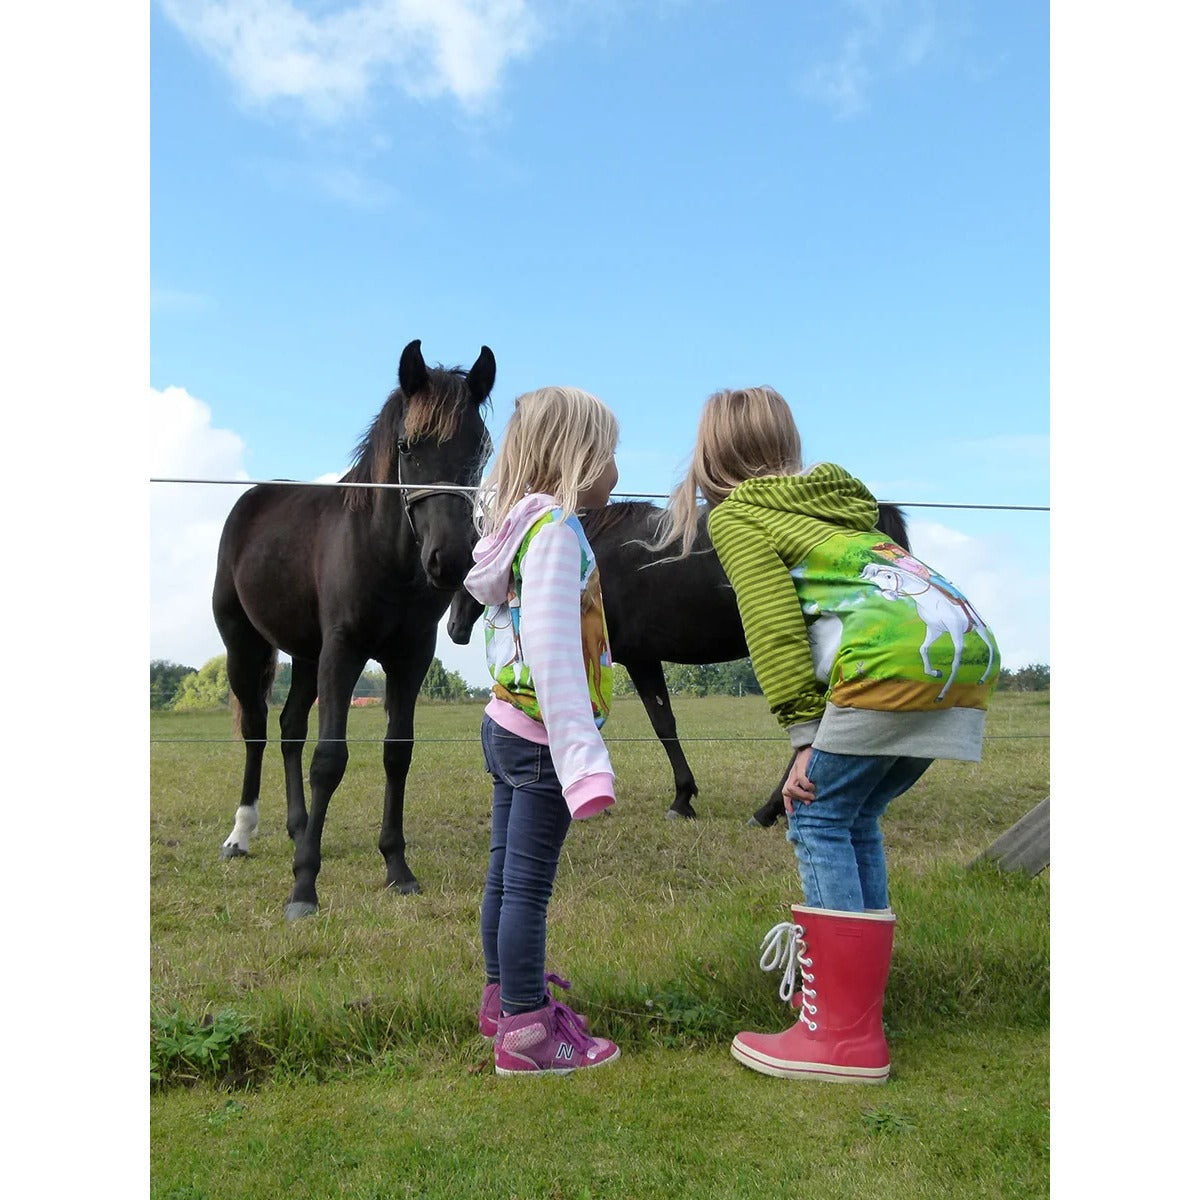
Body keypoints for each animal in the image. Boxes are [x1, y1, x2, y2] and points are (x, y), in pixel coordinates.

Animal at [213, 339, 495, 919]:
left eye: (479, 450)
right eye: (408, 446)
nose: (451, 560)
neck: (383, 553)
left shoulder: (410, 657)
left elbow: (396, 753)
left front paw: (397, 867)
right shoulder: (343, 652)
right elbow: (329, 759)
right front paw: (303, 887)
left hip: (304, 657)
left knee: (289, 728)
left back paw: (300, 828)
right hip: (243, 647)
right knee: (256, 730)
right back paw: (241, 835)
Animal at [446, 500, 910, 827]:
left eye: (472, 555)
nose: (454, 628)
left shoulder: (637, 658)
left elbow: (656, 724)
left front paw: (678, 798)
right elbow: (662, 722)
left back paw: (769, 810)